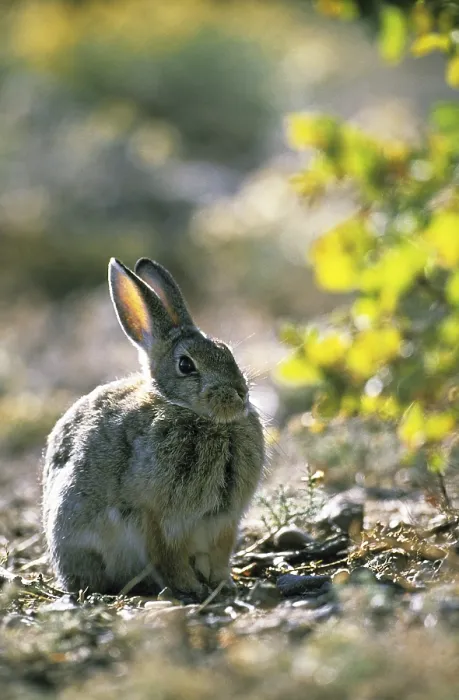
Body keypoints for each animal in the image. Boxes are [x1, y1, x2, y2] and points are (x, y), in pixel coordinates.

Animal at [42, 257, 264, 600]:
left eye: (226, 351)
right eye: (186, 365)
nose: (241, 393)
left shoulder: (223, 523)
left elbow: (218, 556)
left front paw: (223, 584)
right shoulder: (160, 519)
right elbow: (169, 557)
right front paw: (191, 587)